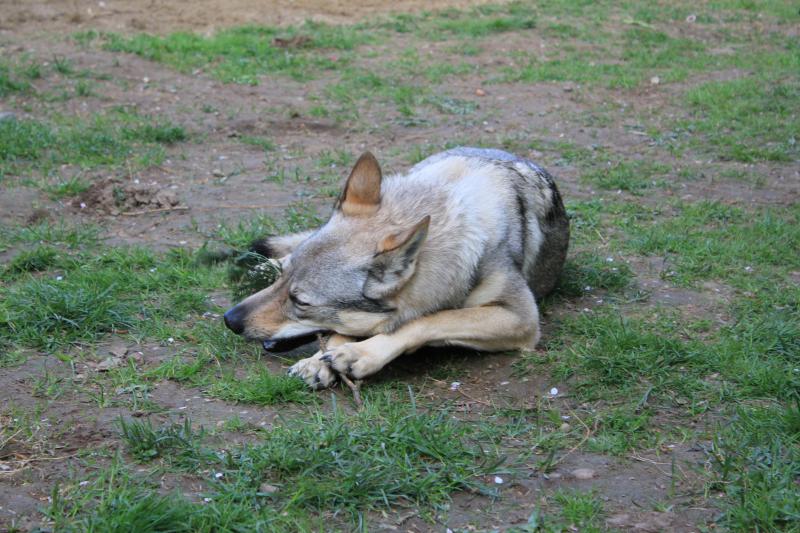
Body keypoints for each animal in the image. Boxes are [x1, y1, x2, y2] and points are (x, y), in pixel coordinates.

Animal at [225, 148, 568, 388]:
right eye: (283, 282)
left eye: (300, 301)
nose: (229, 319)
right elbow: (339, 332)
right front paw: (319, 361)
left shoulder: (521, 317)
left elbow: (429, 319)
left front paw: (360, 354)